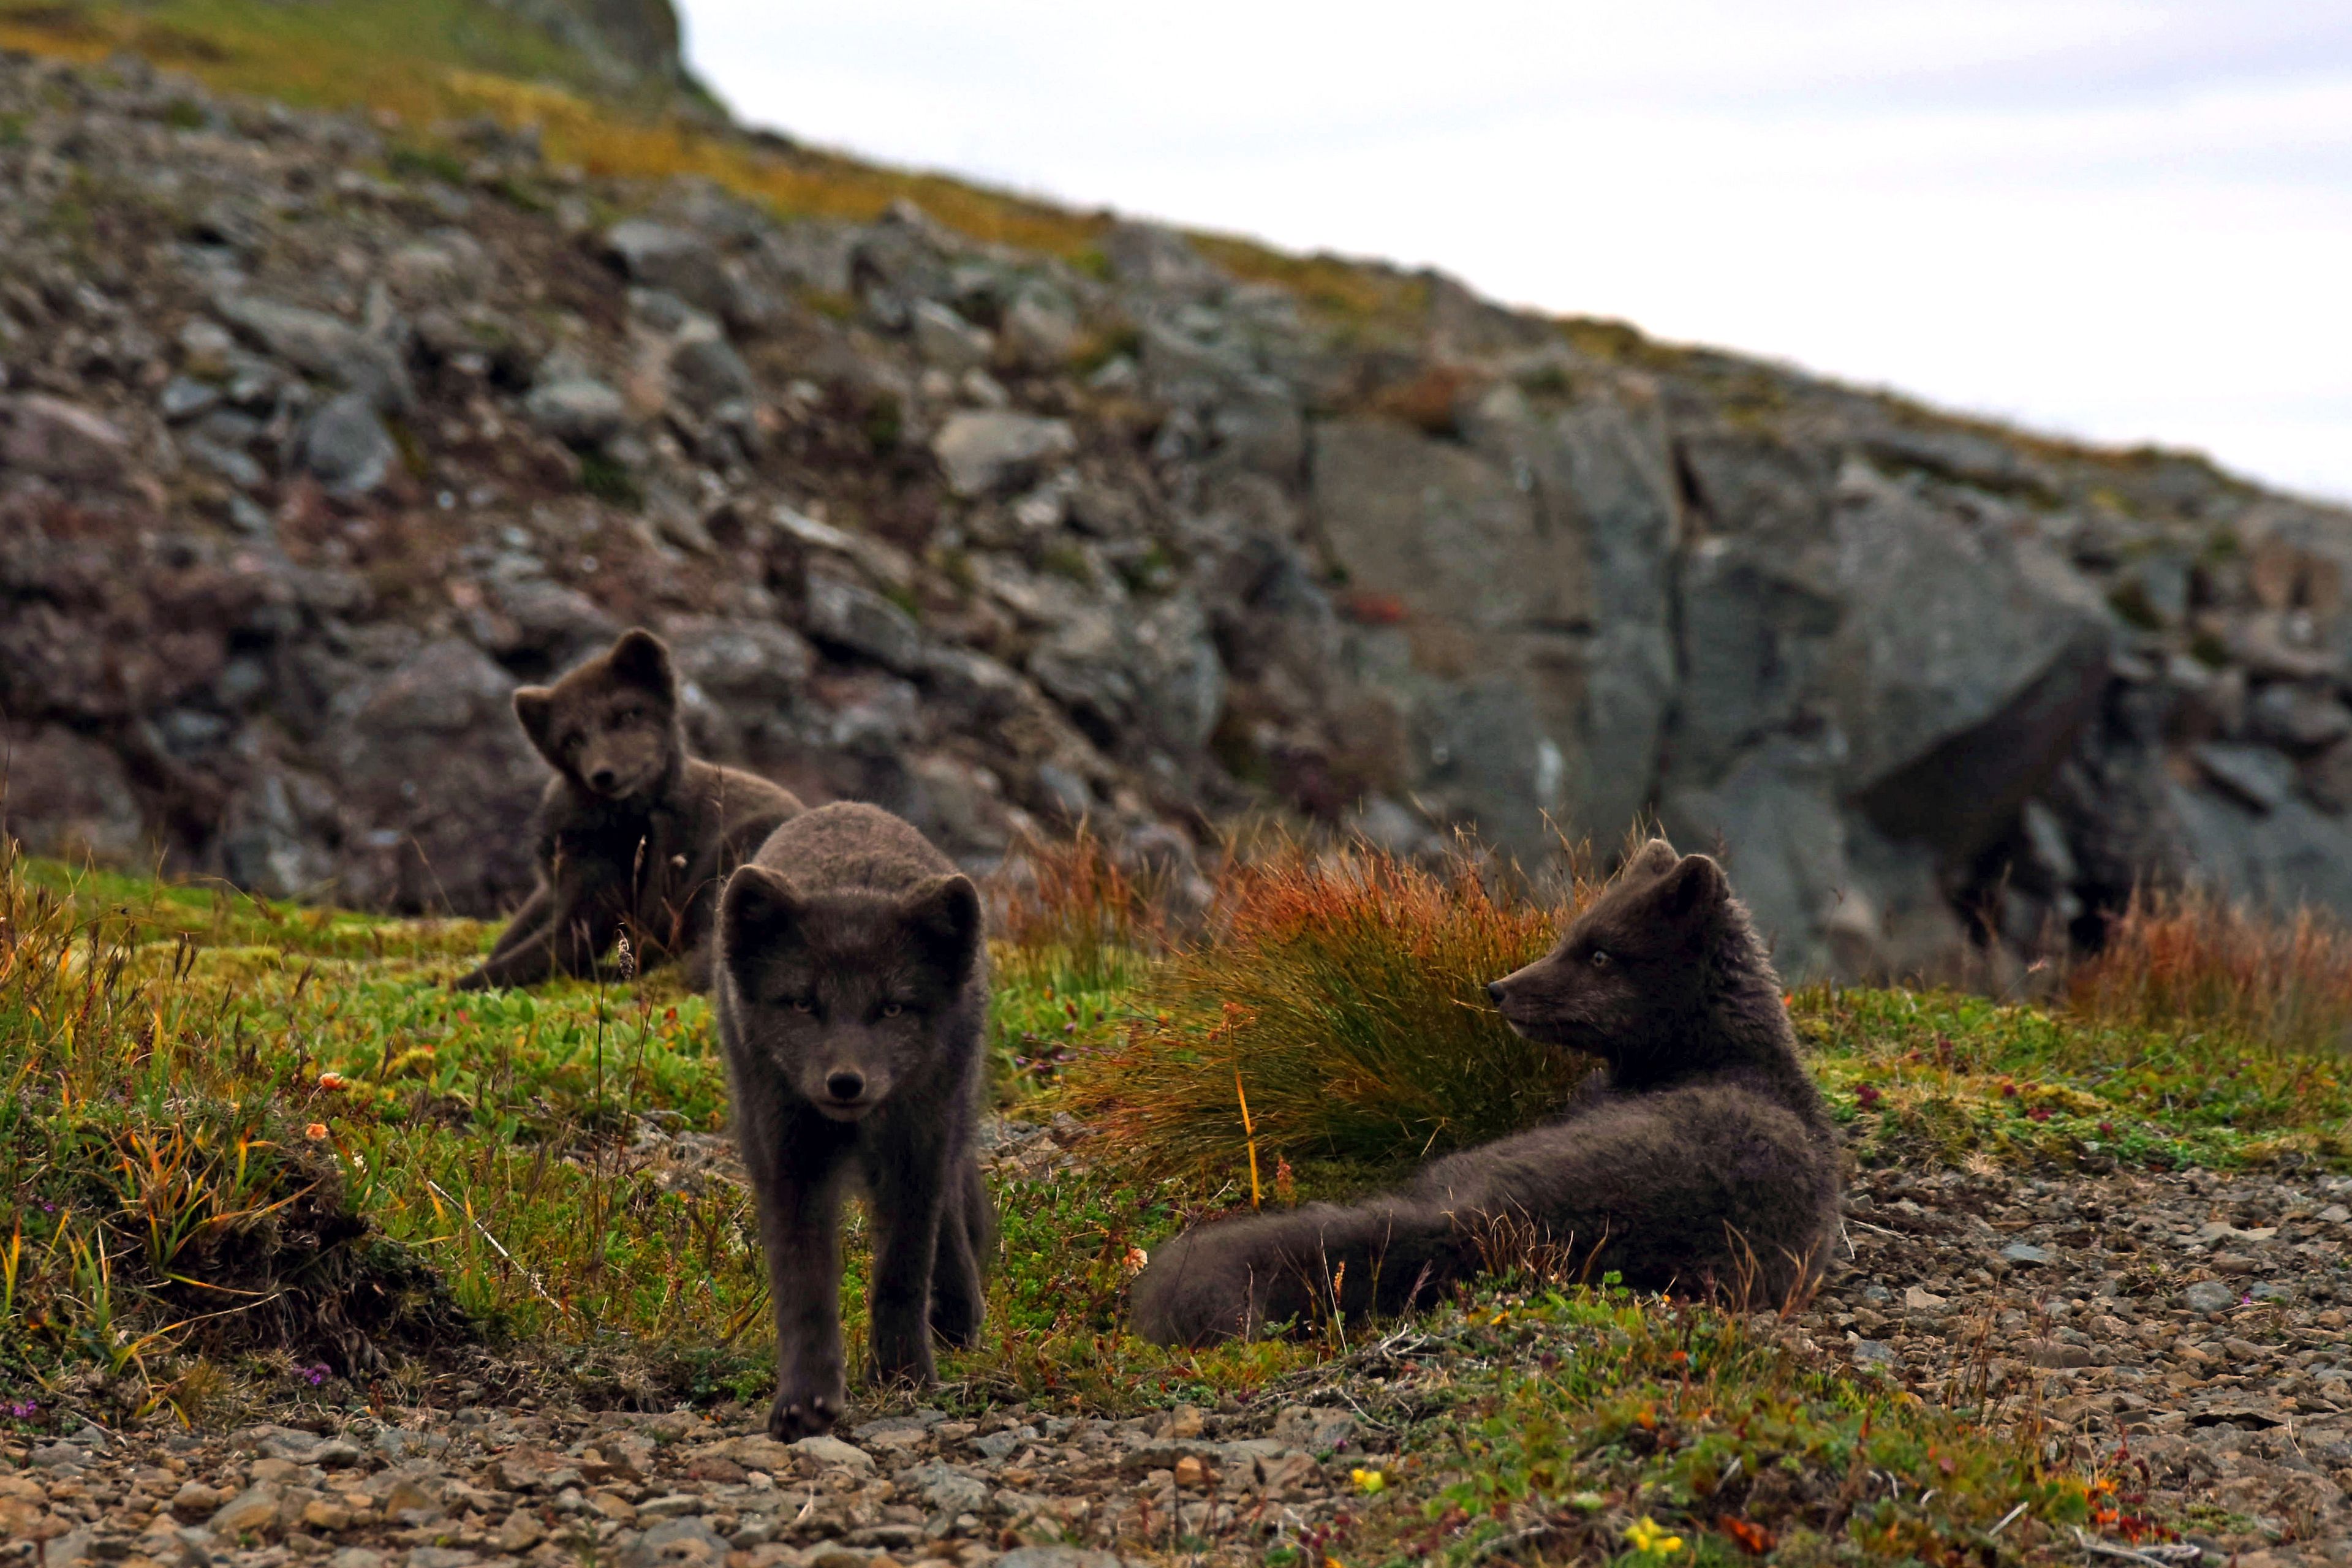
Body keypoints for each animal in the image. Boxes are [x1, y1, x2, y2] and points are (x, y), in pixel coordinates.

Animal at [453, 630, 804, 987]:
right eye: (572, 740)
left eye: (627, 716)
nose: (603, 775)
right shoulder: (554, 886)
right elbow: (510, 938)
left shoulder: (593, 905)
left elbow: (526, 959)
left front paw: (454, 985)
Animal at [705, 804, 983, 1438]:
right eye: (803, 1003)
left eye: (893, 1008)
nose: (845, 1084)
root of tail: (847, 808)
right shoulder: (789, 1160)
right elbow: (803, 1288)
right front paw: (804, 1401)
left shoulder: (916, 1155)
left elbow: (902, 1272)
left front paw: (905, 1376)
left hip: (946, 1120)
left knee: (950, 1213)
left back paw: (958, 1317)